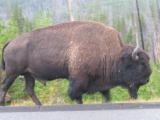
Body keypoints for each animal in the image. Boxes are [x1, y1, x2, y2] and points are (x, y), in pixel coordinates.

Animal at [0, 20, 151, 105]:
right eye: (141, 64)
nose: (148, 78)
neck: (114, 54)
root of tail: (11, 41)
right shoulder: (78, 79)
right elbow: (76, 95)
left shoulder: (101, 82)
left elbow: (106, 95)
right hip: (12, 73)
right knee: (5, 86)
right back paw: (3, 104)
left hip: (28, 74)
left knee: (29, 89)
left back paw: (39, 105)